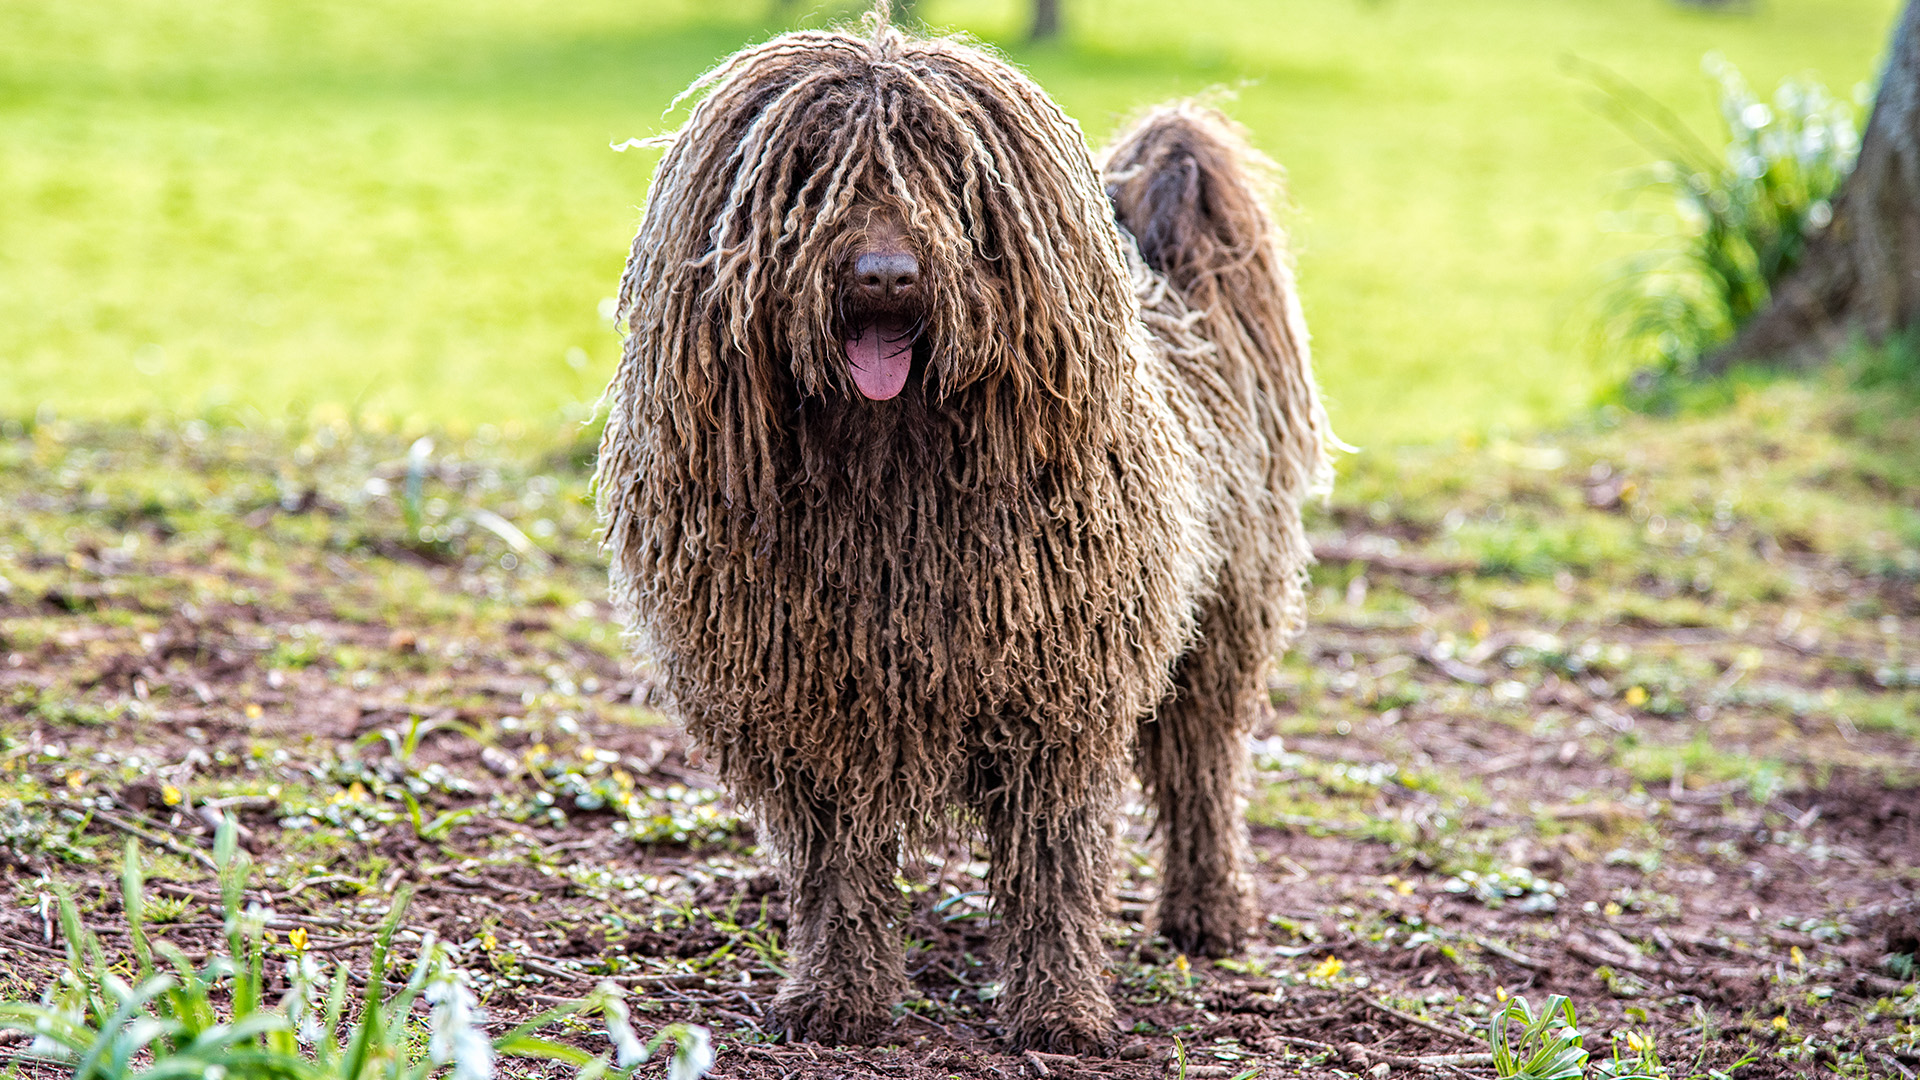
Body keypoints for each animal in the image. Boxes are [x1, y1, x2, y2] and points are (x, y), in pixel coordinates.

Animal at [591, 16, 1328, 1053]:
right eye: (810, 169)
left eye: (949, 175)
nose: (886, 277)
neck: (892, 485)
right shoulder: (814, 708)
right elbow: (837, 870)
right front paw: (838, 995)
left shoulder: (1059, 703)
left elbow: (1053, 873)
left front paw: (1060, 1010)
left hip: (1226, 613)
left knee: (1202, 770)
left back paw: (1207, 912)